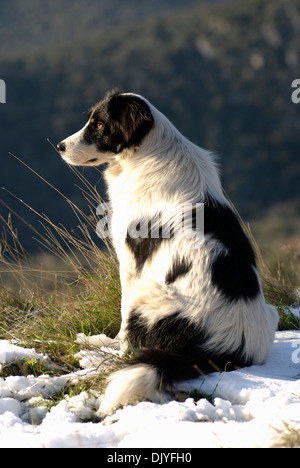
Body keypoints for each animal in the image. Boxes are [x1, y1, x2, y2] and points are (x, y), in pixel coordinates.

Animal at [56, 89, 278, 412]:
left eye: (98, 125)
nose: (59, 147)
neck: (146, 153)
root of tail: (228, 350)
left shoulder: (131, 261)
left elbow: (122, 322)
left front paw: (107, 345)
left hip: (148, 297)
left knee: (131, 346)